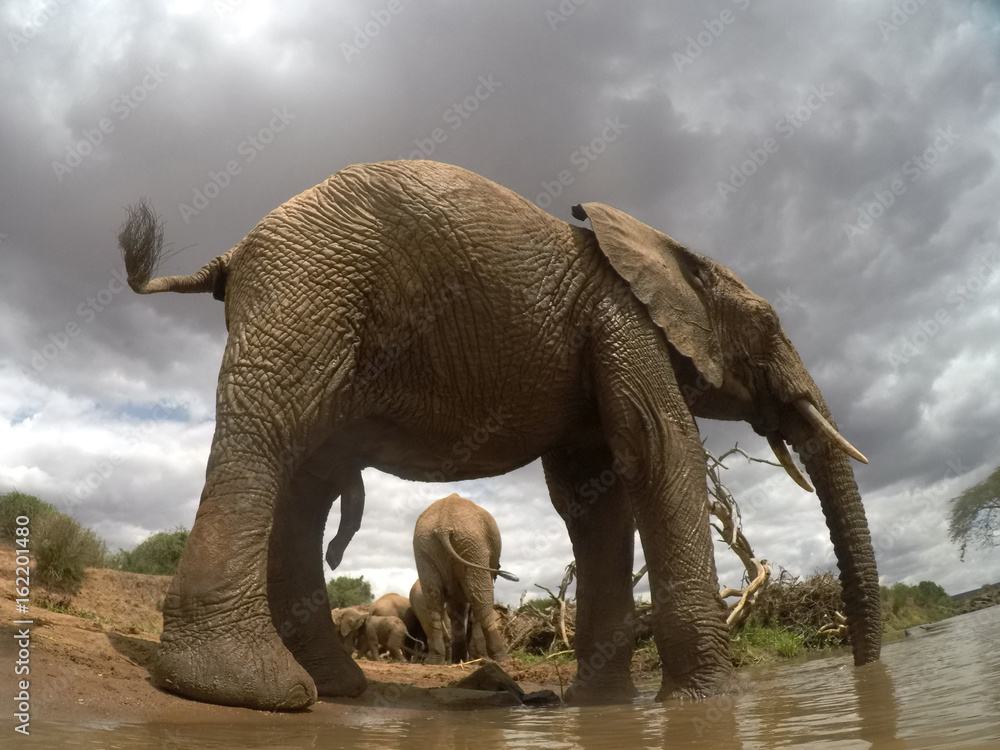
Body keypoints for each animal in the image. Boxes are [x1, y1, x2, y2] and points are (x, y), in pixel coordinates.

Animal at [411, 494, 516, 665]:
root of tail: (443, 525)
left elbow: (456, 608)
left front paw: (459, 659)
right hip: (474, 545)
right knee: (481, 597)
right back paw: (501, 659)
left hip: (425, 547)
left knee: (433, 600)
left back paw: (434, 661)